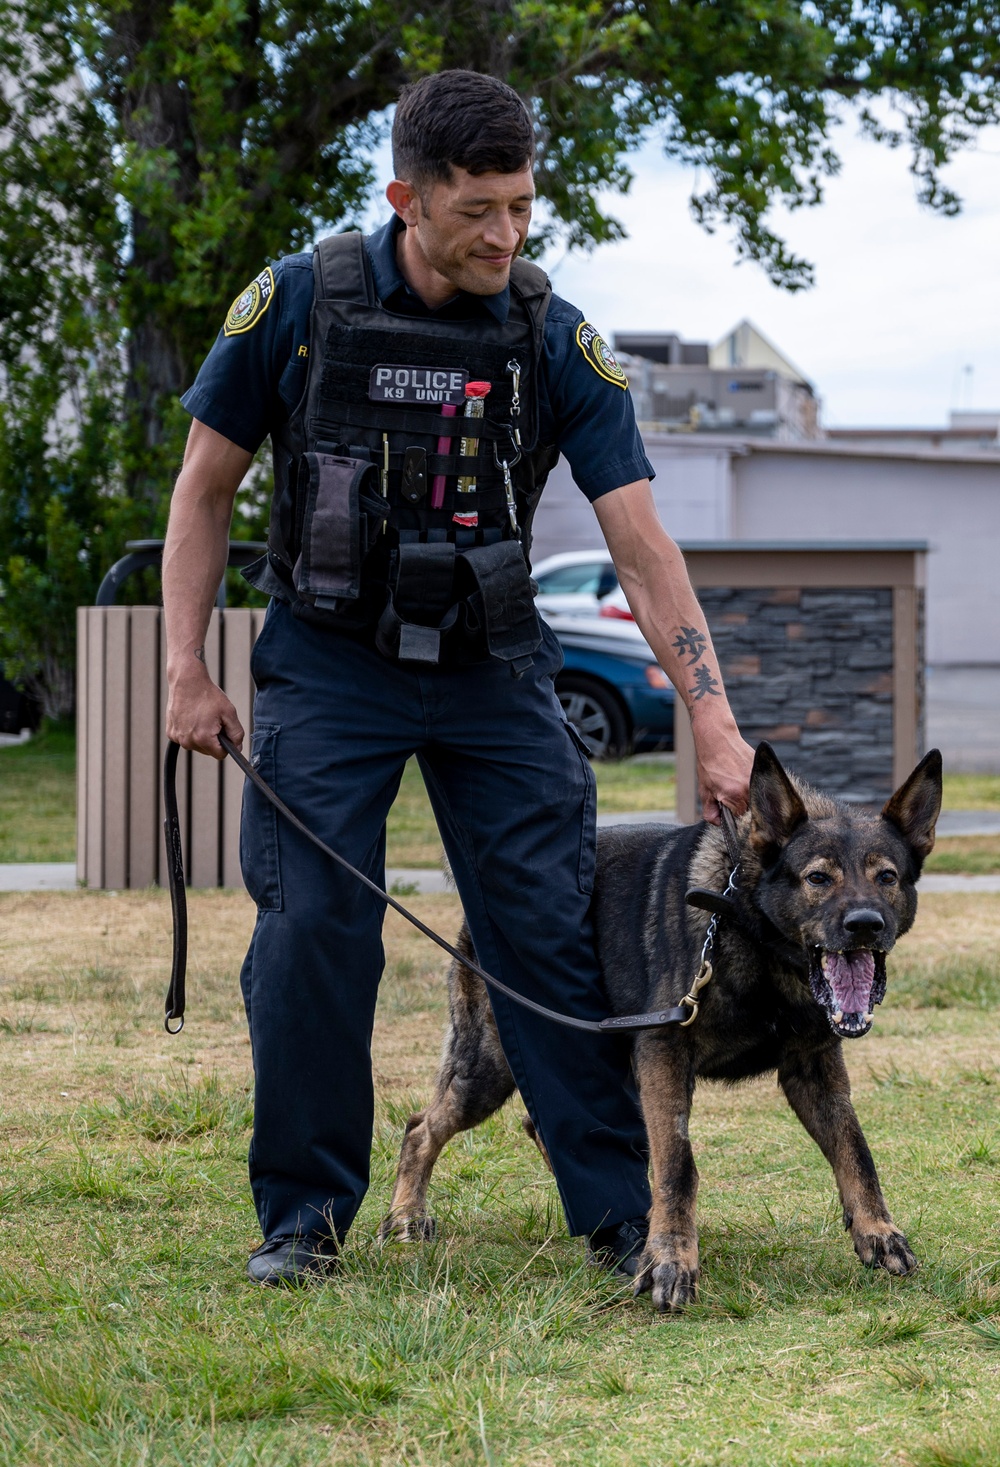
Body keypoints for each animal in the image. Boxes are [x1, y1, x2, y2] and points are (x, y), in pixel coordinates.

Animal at [378, 739, 938, 1314]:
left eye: (887, 877)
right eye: (818, 878)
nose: (865, 925)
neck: (750, 928)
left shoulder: (814, 1071)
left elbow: (855, 1148)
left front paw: (877, 1231)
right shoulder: (665, 1055)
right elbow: (678, 1163)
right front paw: (671, 1259)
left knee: (543, 1125)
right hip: (490, 1070)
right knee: (420, 1127)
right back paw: (406, 1216)